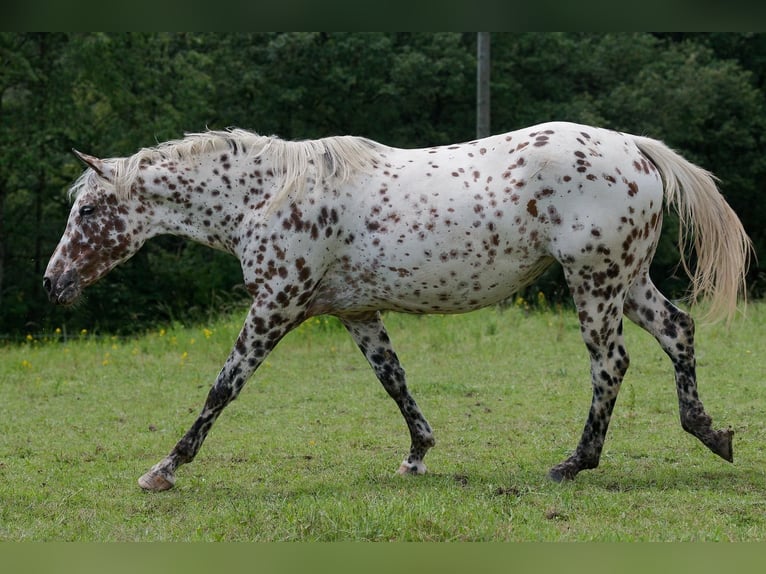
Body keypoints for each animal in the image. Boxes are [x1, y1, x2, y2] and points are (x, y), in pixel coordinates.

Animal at [45, 121, 752, 490]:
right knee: (679, 332)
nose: (53, 283)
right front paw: (418, 453)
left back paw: (574, 463)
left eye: (88, 210)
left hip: (596, 284)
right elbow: (393, 380)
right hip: (627, 282)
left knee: (611, 366)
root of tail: (636, 148)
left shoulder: (276, 305)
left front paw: (163, 469)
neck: (267, 194)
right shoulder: (355, 314)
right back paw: (711, 434)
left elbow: (223, 387)